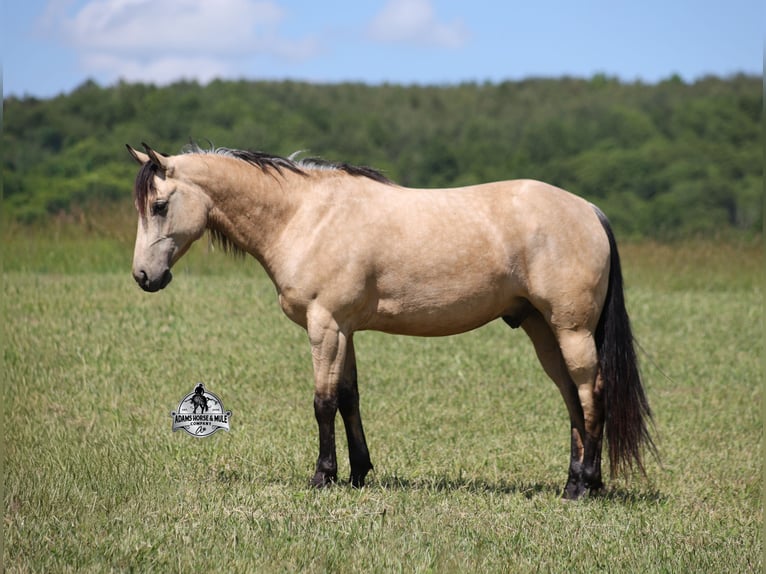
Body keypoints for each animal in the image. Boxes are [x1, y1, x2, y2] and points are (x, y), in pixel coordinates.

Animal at [127, 142, 655, 500]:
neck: (306, 216)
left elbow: (322, 402)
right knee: (572, 401)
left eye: (159, 205)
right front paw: (358, 473)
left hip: (572, 331)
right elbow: (348, 398)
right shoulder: (344, 330)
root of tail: (590, 210)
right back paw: (573, 483)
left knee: (592, 395)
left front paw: (323, 476)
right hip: (544, 331)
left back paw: (585, 485)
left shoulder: (325, 326)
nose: (143, 276)